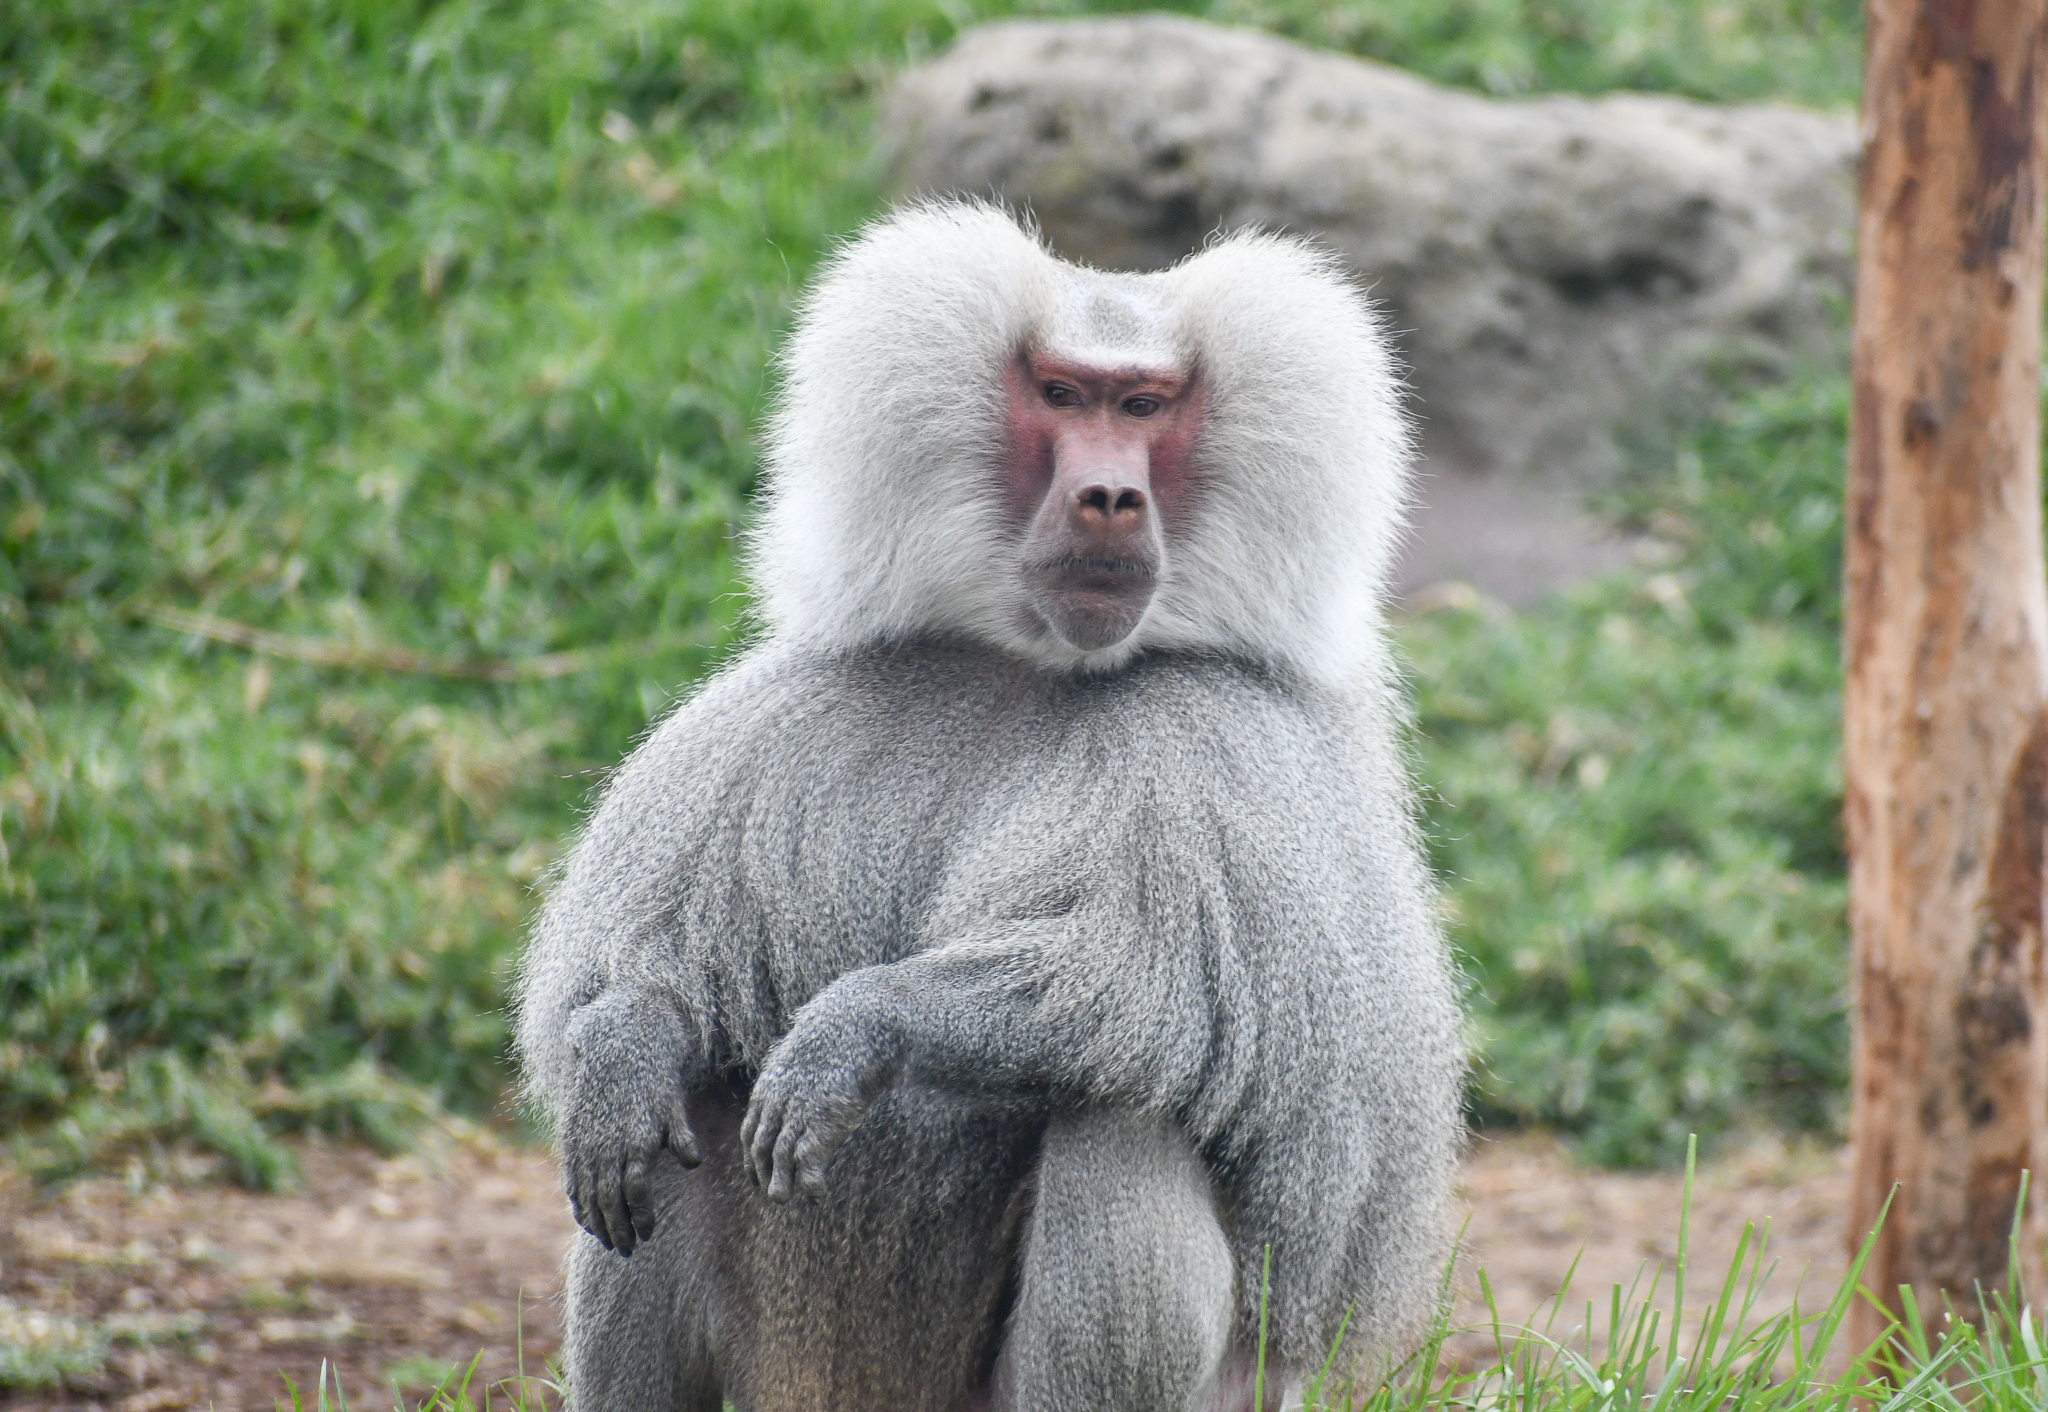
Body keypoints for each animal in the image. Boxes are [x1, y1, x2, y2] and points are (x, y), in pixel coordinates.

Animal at [513, 199, 1464, 1412]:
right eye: (1061, 394)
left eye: (1144, 406)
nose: (1109, 498)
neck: (1037, 668)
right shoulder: (795, 727)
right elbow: (645, 985)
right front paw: (624, 1035)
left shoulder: (1229, 756)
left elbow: (1123, 982)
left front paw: (858, 1027)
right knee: (661, 1130)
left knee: (1123, 1125)